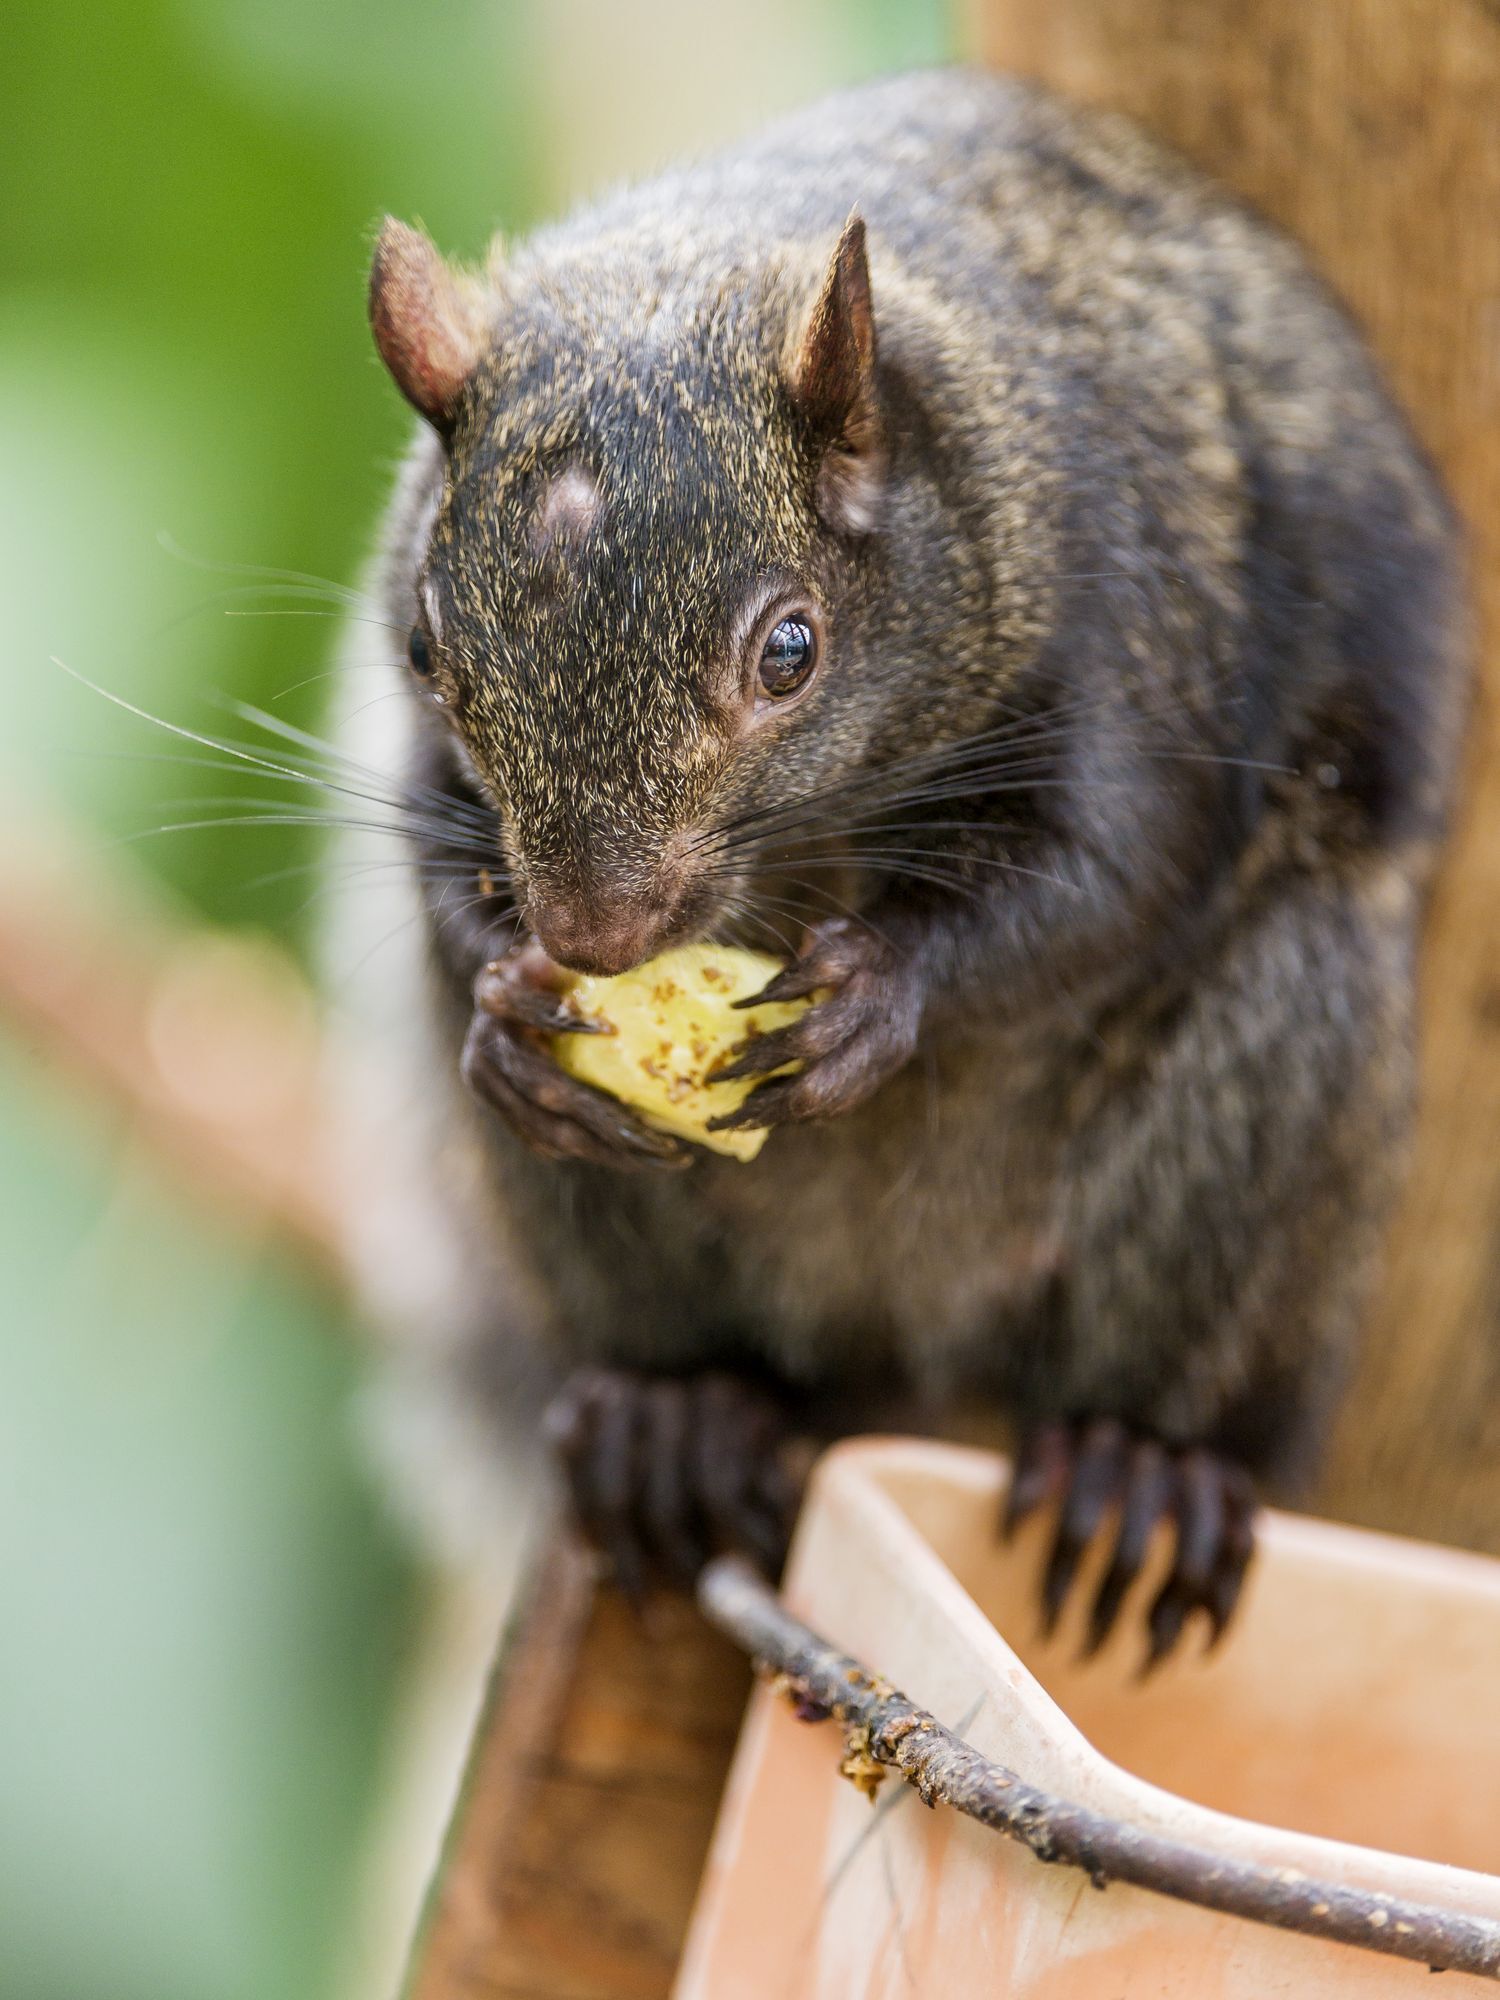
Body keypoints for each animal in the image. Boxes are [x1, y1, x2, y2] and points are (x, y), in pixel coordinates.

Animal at [350, 66, 1472, 1656]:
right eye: (424, 651)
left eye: (790, 649)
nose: (594, 934)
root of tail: (901, 1359)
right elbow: (429, 843)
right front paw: (512, 1018)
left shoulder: (1142, 627)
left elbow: (1112, 870)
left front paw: (878, 995)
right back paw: (676, 1418)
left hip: (1279, 1085)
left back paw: (1142, 1469)